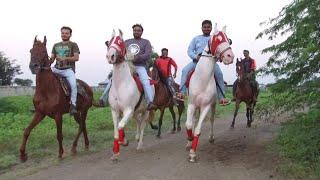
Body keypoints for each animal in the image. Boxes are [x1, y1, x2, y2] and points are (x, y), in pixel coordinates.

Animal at [106, 29, 152, 160]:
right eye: (109, 42)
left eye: (120, 42)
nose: (110, 56)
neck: (120, 85)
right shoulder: (115, 111)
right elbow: (116, 131)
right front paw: (115, 152)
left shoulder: (128, 110)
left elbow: (121, 126)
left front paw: (123, 142)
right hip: (136, 112)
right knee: (138, 122)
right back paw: (136, 137)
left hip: (146, 111)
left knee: (142, 125)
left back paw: (140, 144)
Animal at [185, 25, 235, 162]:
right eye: (217, 39)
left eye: (229, 40)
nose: (230, 56)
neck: (202, 79)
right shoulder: (191, 104)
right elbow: (188, 125)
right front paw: (189, 140)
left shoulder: (206, 106)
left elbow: (198, 129)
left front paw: (193, 153)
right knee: (193, 120)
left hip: (212, 105)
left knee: (211, 120)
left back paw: (211, 138)